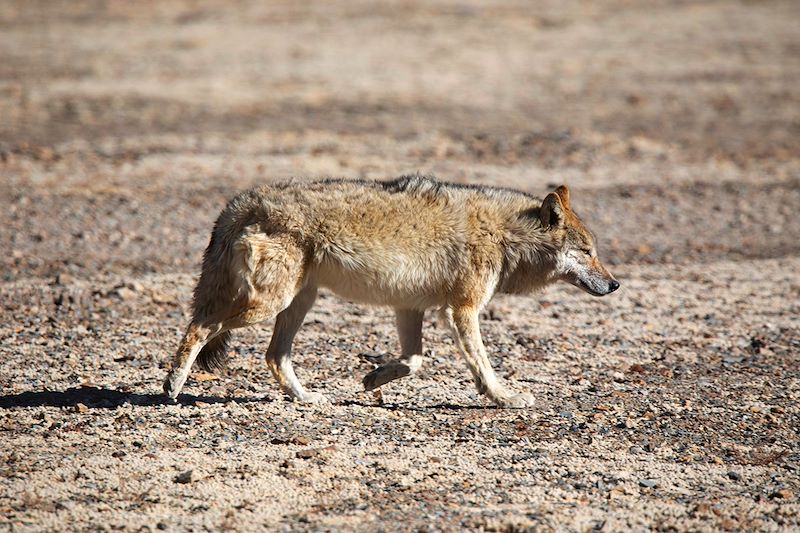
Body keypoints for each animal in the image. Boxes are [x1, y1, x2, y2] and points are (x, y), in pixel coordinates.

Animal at [163, 176, 619, 408]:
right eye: (588, 253)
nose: (615, 284)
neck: (505, 234)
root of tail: (238, 203)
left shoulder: (410, 307)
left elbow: (414, 361)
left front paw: (373, 378)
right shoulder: (462, 309)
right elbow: (482, 366)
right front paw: (504, 396)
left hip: (298, 302)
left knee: (273, 356)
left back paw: (308, 397)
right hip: (271, 303)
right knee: (200, 326)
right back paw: (173, 385)